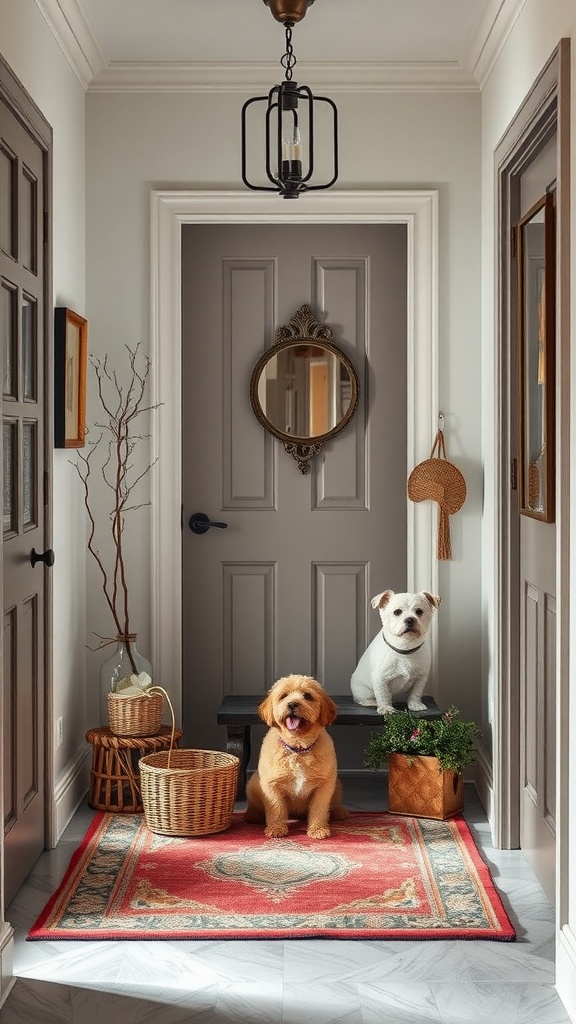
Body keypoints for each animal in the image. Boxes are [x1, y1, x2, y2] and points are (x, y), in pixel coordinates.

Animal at [241, 671, 344, 839]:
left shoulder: (324, 786)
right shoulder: (272, 786)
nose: (292, 704)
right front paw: (276, 828)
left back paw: (339, 812)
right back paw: (253, 816)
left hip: (338, 785)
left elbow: (319, 809)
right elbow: (276, 809)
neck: (297, 750)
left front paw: (318, 829)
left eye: (308, 696)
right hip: (252, 784)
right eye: (284, 696)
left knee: (333, 805)